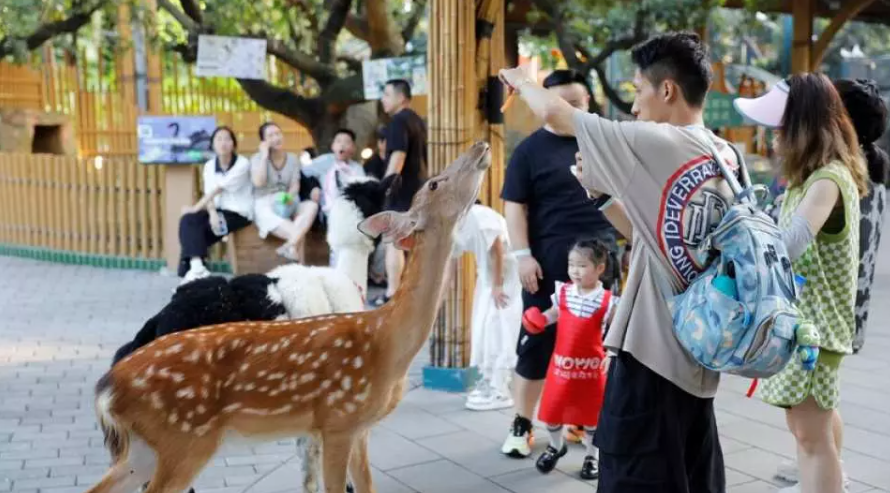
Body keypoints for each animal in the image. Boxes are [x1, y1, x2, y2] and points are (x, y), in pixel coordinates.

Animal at [86, 140, 490, 490]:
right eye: (435, 182)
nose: (479, 146)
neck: (386, 341)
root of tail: (107, 389)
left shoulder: (361, 428)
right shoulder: (338, 419)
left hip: (144, 450)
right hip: (183, 437)